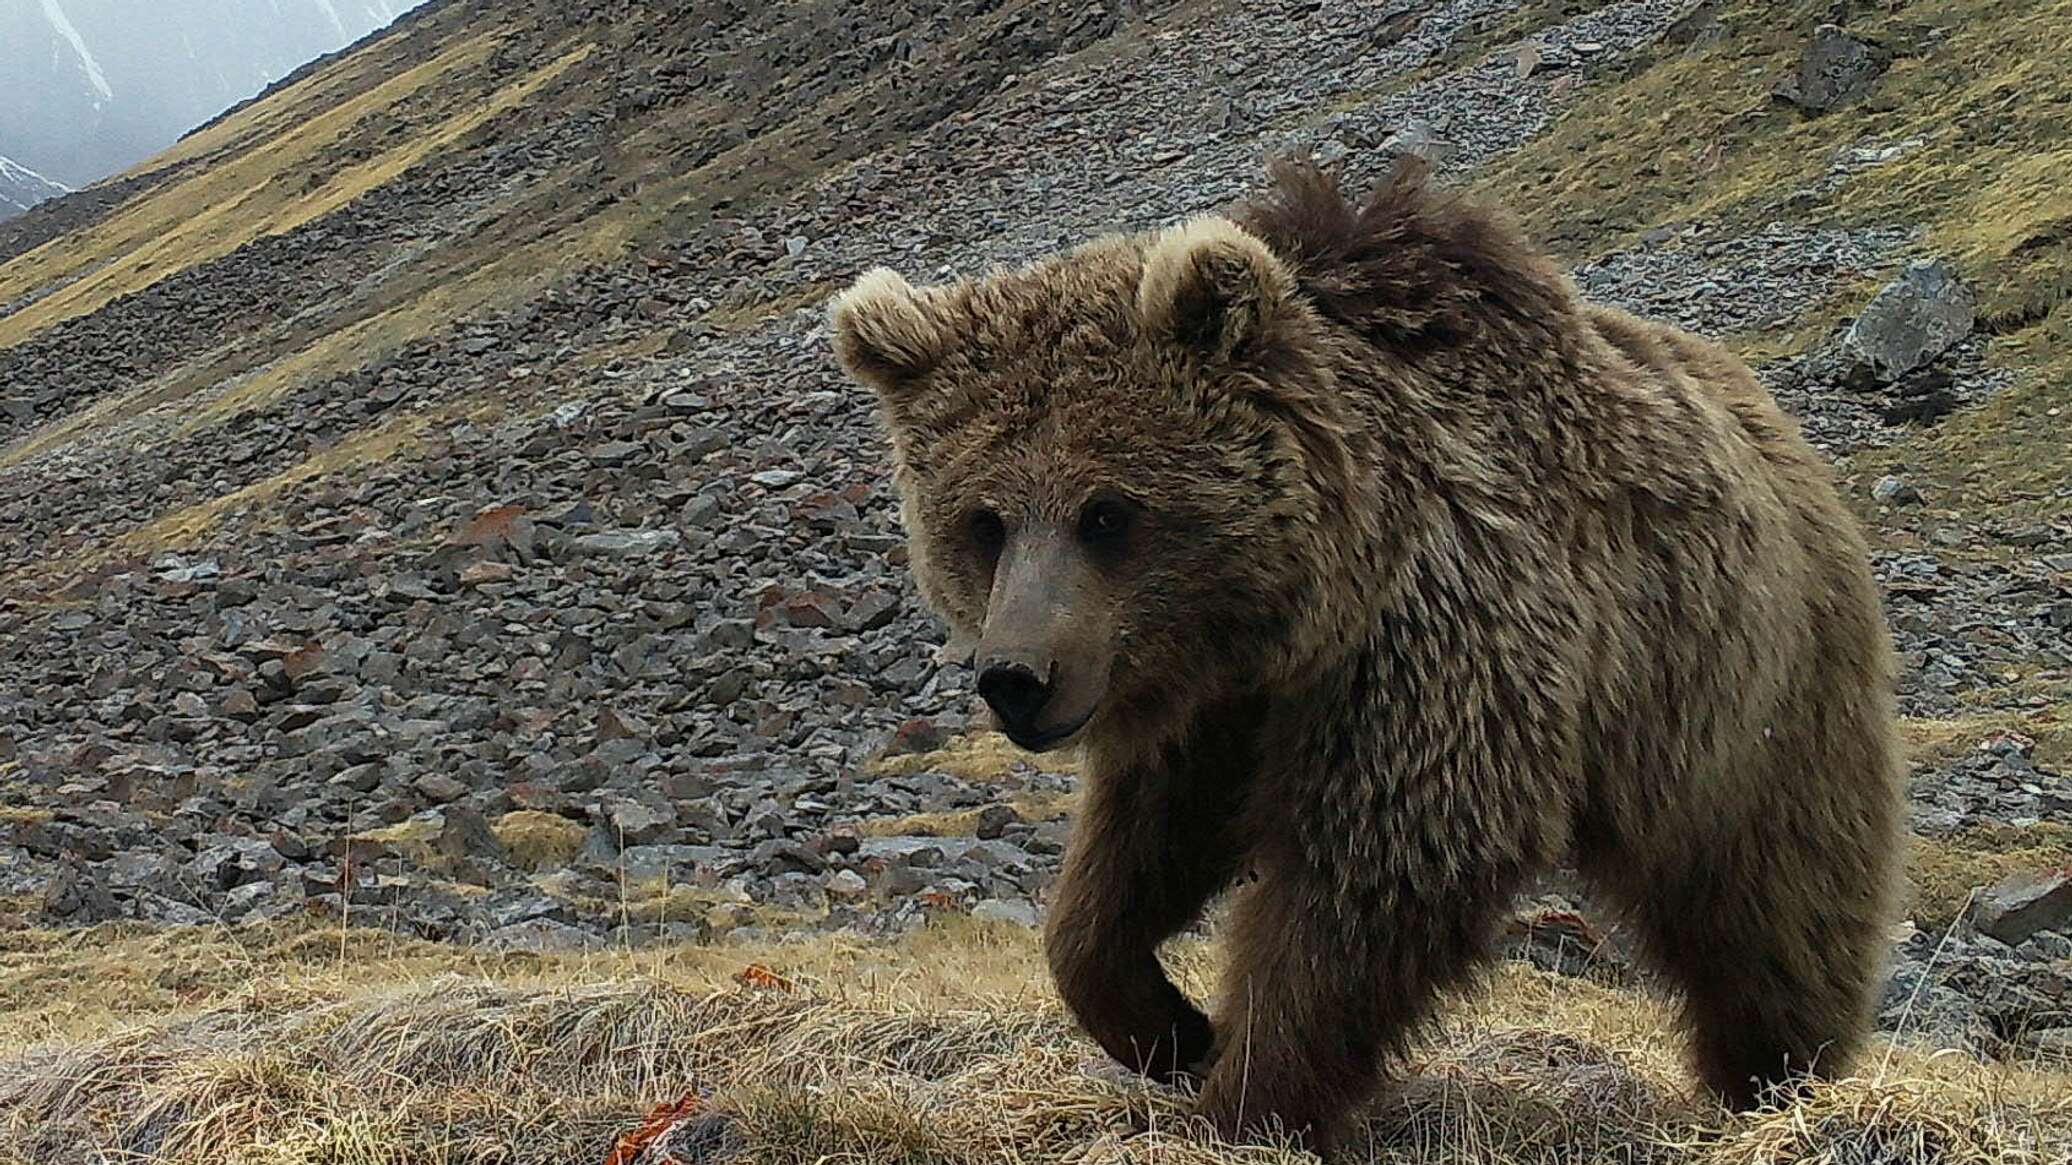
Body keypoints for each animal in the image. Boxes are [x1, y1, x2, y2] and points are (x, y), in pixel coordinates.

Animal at [828, 156, 1906, 1152]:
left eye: (1107, 511)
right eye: (983, 520)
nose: (1017, 678)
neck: (1303, 598)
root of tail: (1776, 423)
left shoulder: (1431, 641)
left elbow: (1370, 878)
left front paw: (1245, 1095)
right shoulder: (1215, 707)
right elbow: (1139, 849)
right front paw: (1167, 1024)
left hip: (1744, 687)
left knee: (1774, 897)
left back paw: (1777, 1073)